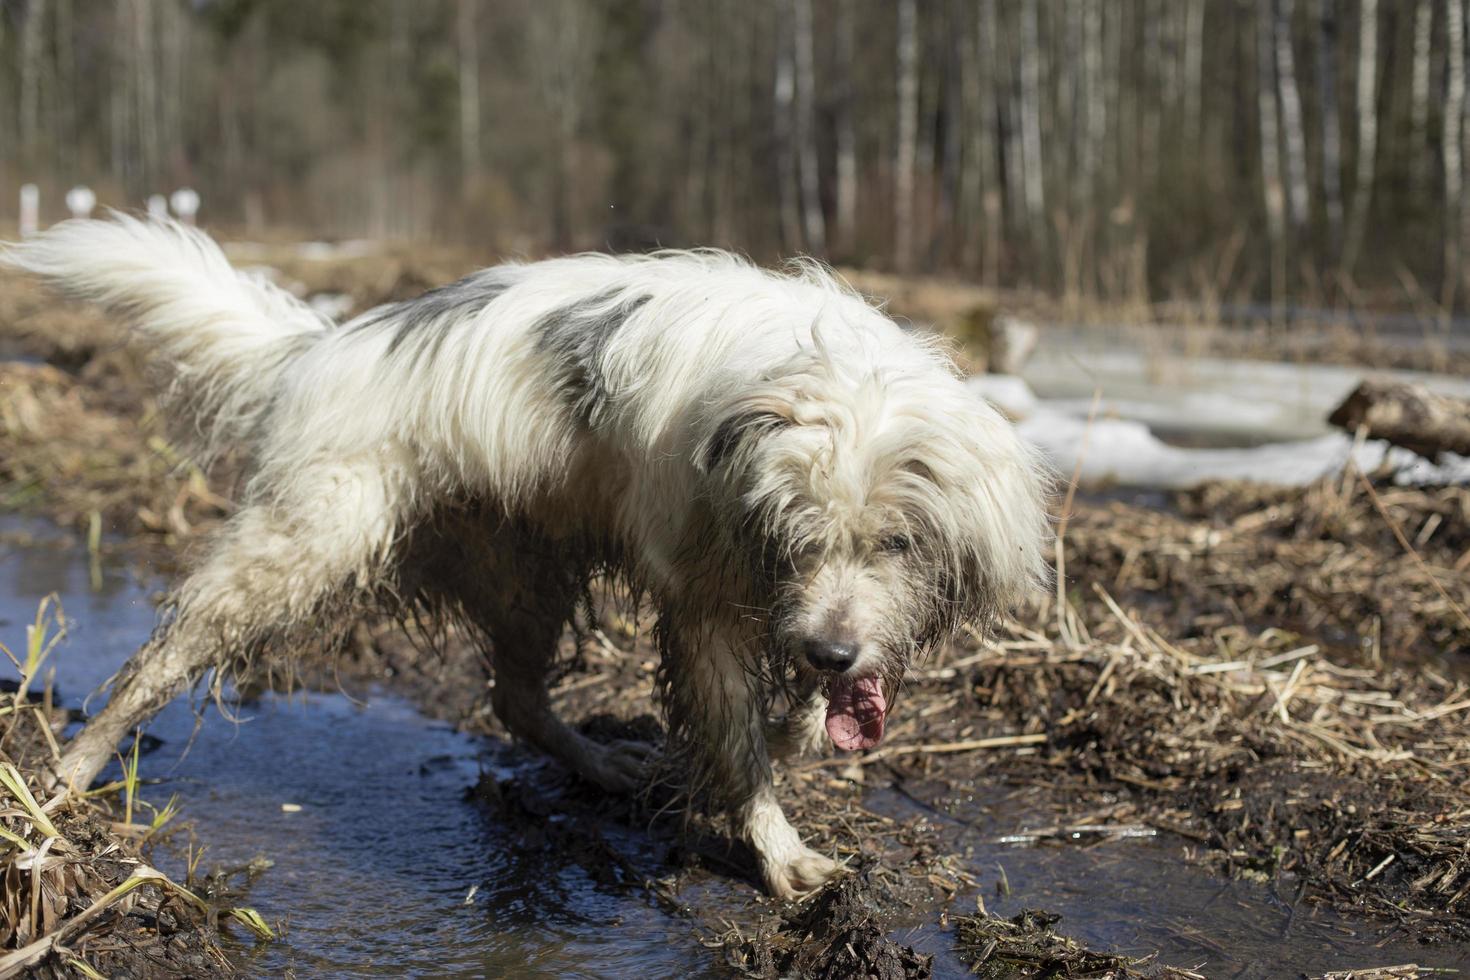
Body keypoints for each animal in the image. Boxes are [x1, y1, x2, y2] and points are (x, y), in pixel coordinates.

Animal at [5, 218, 1052, 899]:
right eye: (801, 536)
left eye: (896, 543)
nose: (832, 653)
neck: (830, 380)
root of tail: (325, 347)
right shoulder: (707, 602)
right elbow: (738, 743)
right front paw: (779, 850)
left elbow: (783, 721)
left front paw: (791, 736)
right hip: (299, 546)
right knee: (163, 657)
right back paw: (63, 778)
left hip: (527, 572)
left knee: (513, 697)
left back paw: (603, 763)